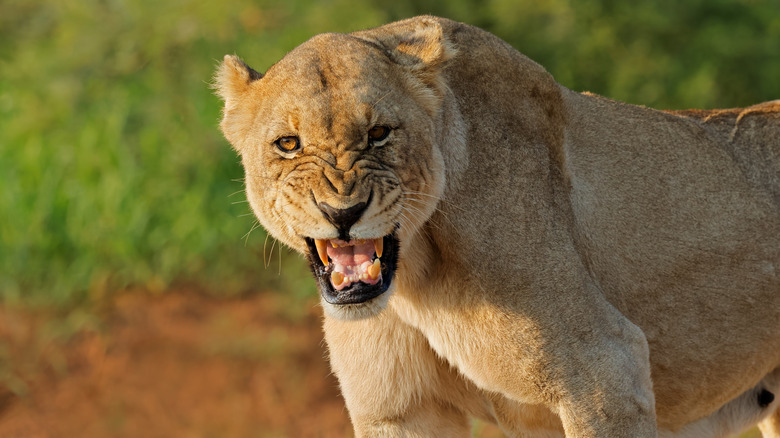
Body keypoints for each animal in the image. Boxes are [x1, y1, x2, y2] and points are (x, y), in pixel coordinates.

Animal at [215, 16, 780, 437]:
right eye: (288, 144)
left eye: (379, 134)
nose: (342, 213)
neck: (415, 277)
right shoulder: (399, 411)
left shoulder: (607, 368)